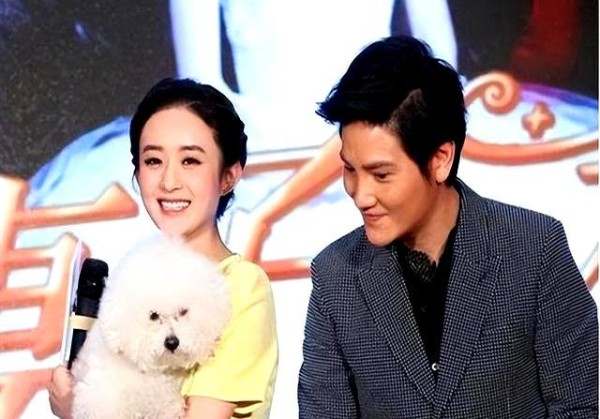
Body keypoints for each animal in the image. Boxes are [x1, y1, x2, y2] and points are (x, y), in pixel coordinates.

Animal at [71, 235, 231, 419]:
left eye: (183, 312)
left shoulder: (166, 407)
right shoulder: (100, 400)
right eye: (153, 315)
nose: (172, 342)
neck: (152, 374)